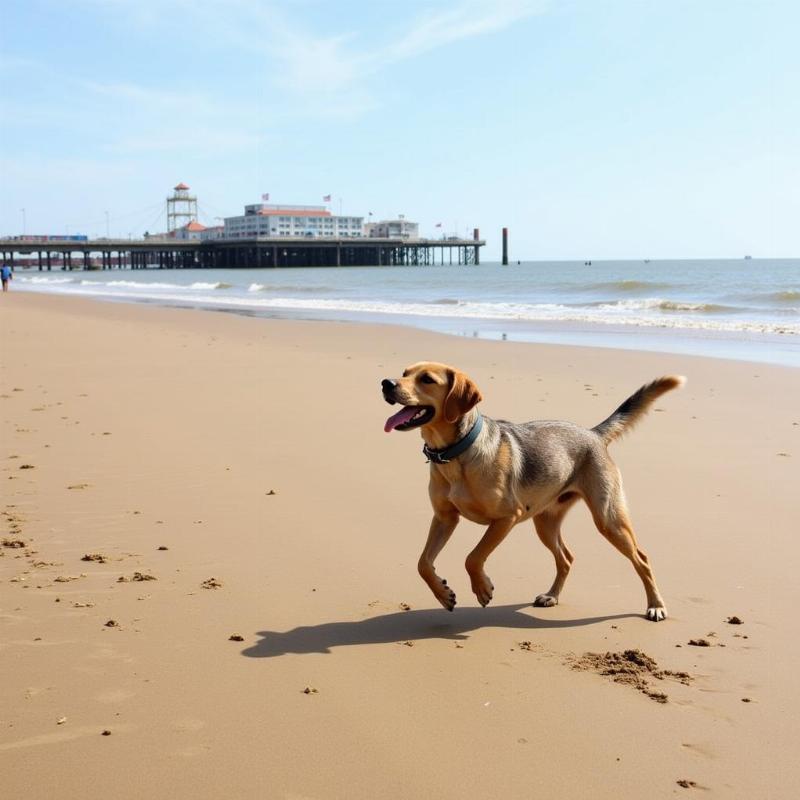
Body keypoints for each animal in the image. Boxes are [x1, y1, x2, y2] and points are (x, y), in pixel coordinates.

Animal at [384, 362, 684, 620]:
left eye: (427, 379)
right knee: (566, 558)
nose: (386, 383)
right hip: (545, 522)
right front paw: (443, 594)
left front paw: (482, 588)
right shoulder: (445, 518)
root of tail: (594, 434)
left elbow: (473, 557)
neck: (456, 453)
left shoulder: (507, 518)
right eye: (405, 373)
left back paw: (656, 606)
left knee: (641, 559)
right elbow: (423, 563)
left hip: (608, 519)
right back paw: (552, 596)